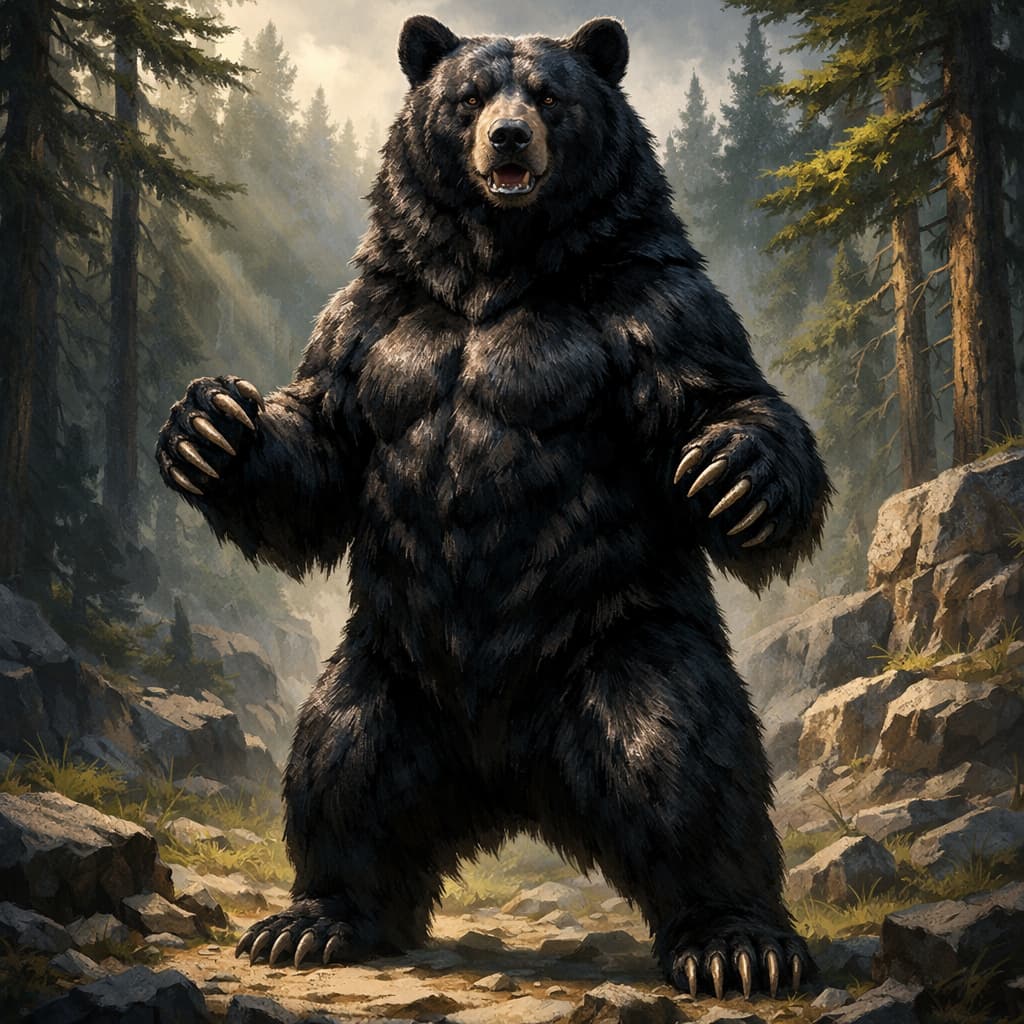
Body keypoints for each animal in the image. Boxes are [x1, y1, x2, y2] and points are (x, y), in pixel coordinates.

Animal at [156, 16, 830, 999]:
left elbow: (718, 394)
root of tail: (509, 773)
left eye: (549, 95)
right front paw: (211, 428)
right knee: (339, 765)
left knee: (685, 766)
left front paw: (737, 473)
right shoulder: (373, 314)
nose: (508, 139)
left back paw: (735, 943)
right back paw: (313, 919)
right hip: (390, 668)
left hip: (623, 647)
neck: (493, 268)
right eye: (470, 97)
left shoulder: (652, 301)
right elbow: (322, 440)